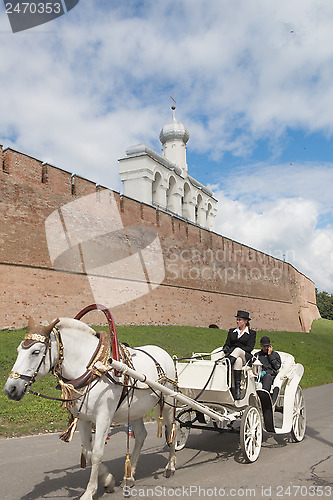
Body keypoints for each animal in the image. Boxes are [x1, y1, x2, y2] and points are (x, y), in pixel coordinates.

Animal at [3, 318, 178, 498]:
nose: (11, 389)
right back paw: (129, 476)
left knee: (173, 429)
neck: (93, 370)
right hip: (136, 409)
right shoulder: (83, 419)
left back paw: (170, 466)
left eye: (35, 352)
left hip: (168, 403)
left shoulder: (103, 418)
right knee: (141, 436)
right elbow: (88, 452)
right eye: (18, 350)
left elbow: (97, 454)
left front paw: (90, 491)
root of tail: (164, 353)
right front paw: (108, 480)